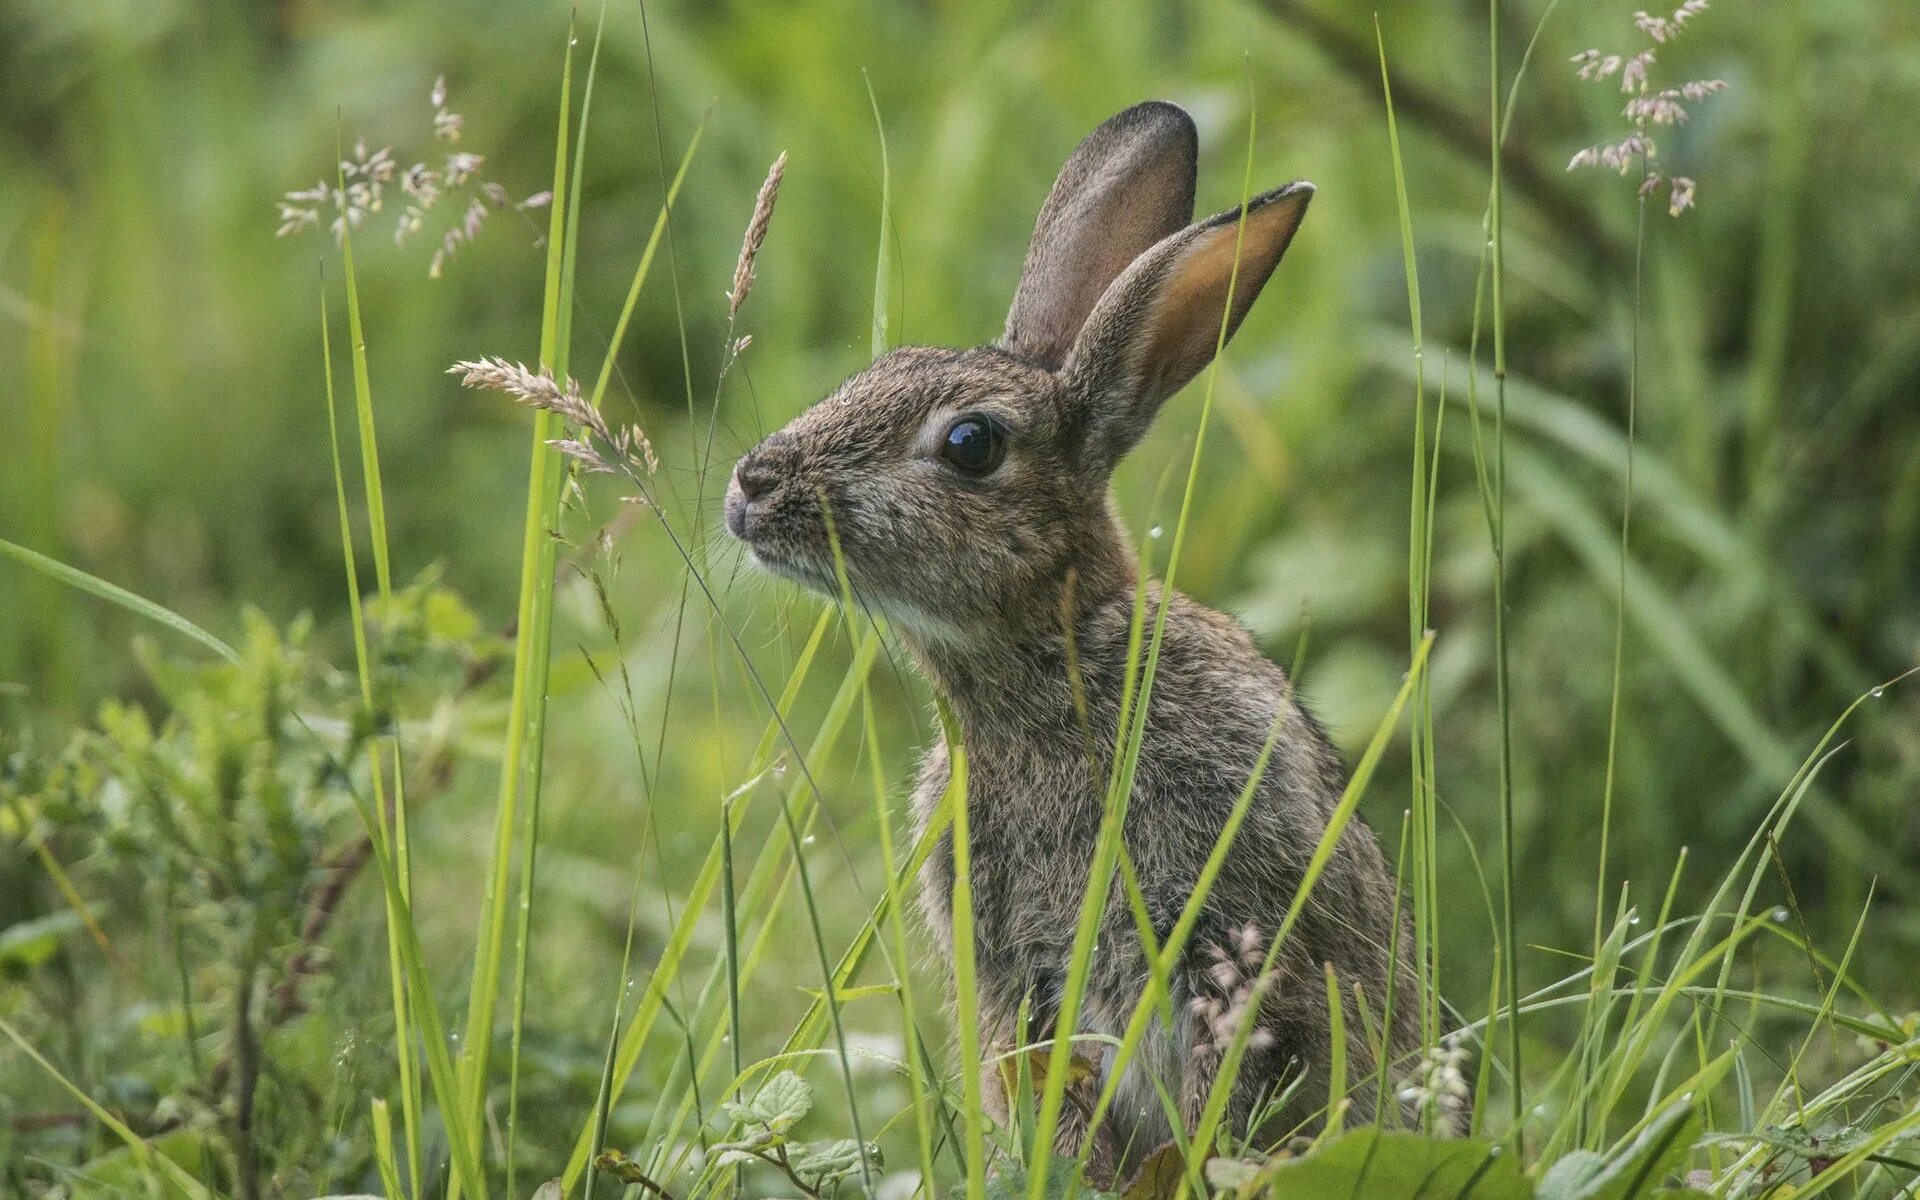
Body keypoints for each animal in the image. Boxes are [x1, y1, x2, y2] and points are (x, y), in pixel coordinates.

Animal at [725, 100, 1420, 1167]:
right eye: (875, 369)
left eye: (971, 444)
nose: (751, 488)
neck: (1054, 662)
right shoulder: (1014, 980)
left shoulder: (1231, 930)